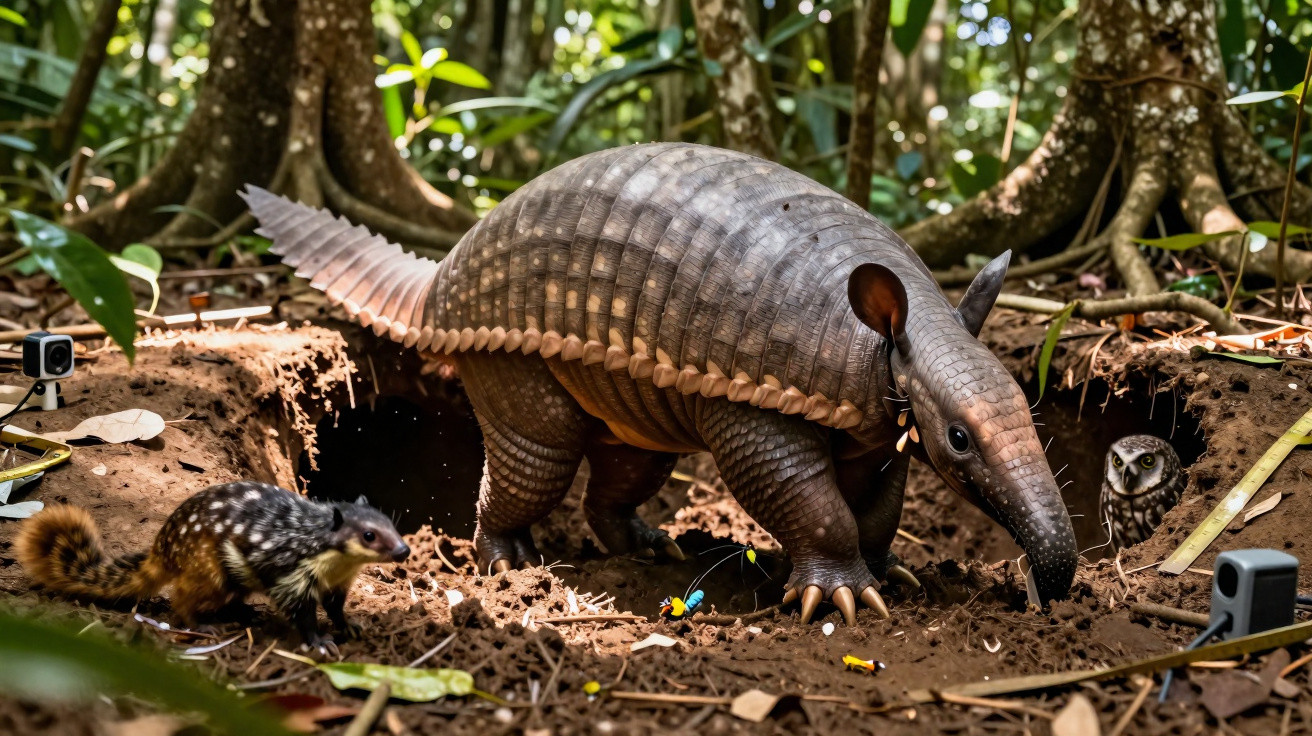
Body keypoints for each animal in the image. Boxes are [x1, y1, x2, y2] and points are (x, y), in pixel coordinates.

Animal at [16, 481, 409, 649]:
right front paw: (318, 643)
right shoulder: (293, 579)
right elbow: (304, 617)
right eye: (369, 535)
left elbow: (337, 609)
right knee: (180, 599)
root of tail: (162, 549)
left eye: (390, 524)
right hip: (212, 573)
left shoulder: (337, 585)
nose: (404, 551)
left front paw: (351, 627)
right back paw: (203, 626)